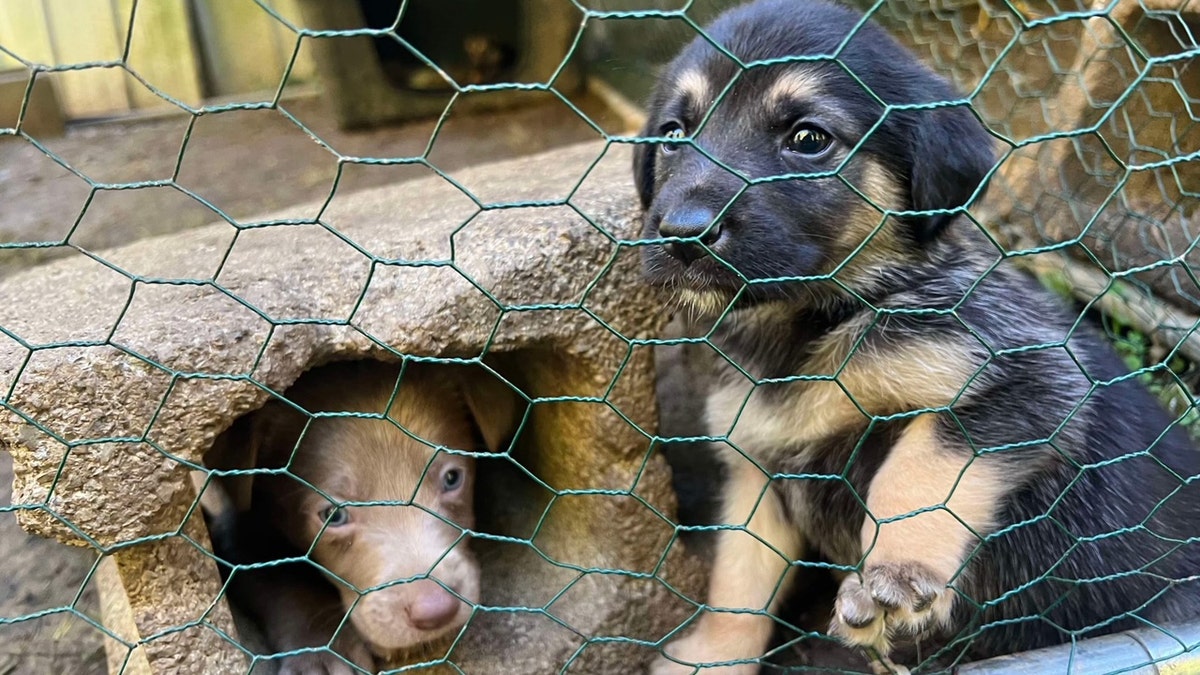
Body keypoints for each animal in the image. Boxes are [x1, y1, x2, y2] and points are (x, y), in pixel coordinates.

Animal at [633, 2, 1200, 667]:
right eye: (674, 134)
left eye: (808, 139)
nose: (681, 233)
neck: (812, 325)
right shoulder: (755, 472)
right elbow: (738, 579)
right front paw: (712, 656)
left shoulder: (1030, 380)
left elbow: (917, 471)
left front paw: (897, 576)